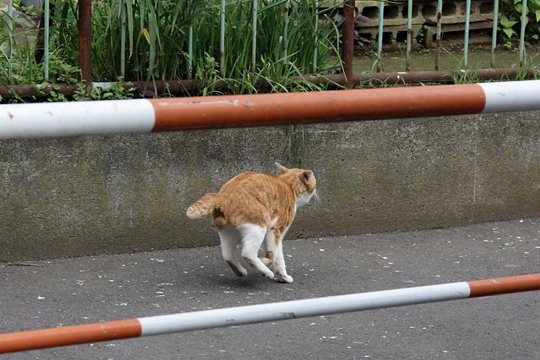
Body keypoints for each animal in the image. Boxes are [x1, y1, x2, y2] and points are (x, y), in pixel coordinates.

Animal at [188, 163, 318, 284]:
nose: (316, 191)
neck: (288, 184)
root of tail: (224, 195)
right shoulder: (276, 229)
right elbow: (272, 255)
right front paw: (266, 262)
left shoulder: (277, 236)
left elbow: (279, 257)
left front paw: (283, 277)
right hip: (259, 225)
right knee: (247, 253)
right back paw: (266, 272)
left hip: (228, 231)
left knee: (227, 255)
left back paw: (240, 271)